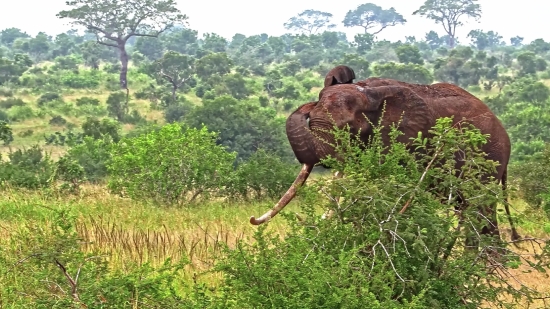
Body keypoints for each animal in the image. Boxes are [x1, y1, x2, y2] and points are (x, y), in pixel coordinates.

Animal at [250, 65, 520, 243]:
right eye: (311, 118)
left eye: (349, 129)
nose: (253, 218)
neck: (369, 92)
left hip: (490, 156)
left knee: (479, 207)